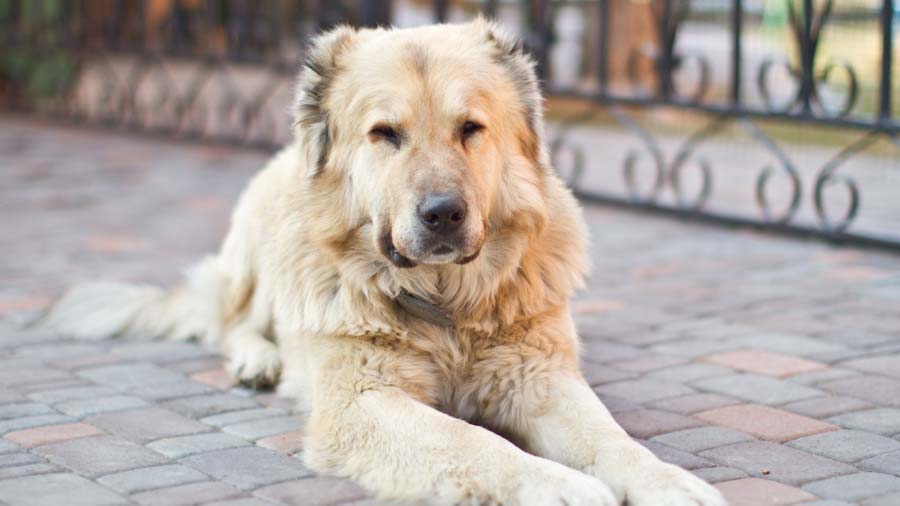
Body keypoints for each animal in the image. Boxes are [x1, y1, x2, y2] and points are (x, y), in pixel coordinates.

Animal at [45, 17, 728, 504]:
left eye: (470, 128)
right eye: (384, 134)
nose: (443, 214)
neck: (445, 301)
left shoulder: (541, 379)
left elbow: (610, 438)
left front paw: (667, 480)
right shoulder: (361, 403)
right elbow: (472, 439)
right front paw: (555, 485)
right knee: (232, 322)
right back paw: (259, 360)